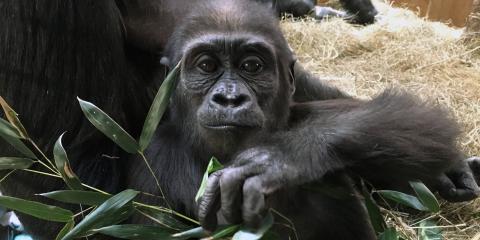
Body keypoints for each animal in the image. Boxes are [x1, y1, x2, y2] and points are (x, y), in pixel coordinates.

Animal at [127, 0, 464, 238]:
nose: (230, 98)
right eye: (207, 66)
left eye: (252, 66)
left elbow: (422, 127)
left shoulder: (312, 111)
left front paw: (278, 159)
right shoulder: (151, 164)